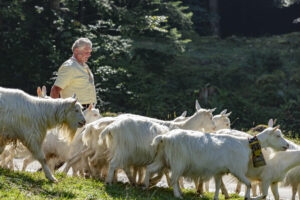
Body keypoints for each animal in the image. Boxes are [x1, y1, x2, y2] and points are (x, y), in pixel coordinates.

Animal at [144, 124, 290, 199]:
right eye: (278, 136)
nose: (287, 145)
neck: (246, 145)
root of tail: (164, 137)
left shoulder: (219, 171)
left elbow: (218, 185)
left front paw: (215, 197)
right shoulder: (237, 170)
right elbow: (248, 184)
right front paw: (247, 197)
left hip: (162, 158)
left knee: (149, 168)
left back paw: (145, 187)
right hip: (178, 161)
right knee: (174, 179)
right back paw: (177, 195)